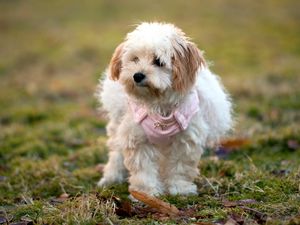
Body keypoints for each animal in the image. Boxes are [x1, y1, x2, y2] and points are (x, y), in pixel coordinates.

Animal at [96, 22, 232, 196]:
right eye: (135, 59)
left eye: (158, 61)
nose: (137, 75)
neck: (159, 105)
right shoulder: (138, 138)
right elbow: (144, 170)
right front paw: (146, 193)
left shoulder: (185, 140)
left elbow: (180, 168)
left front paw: (180, 189)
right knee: (116, 153)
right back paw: (111, 177)